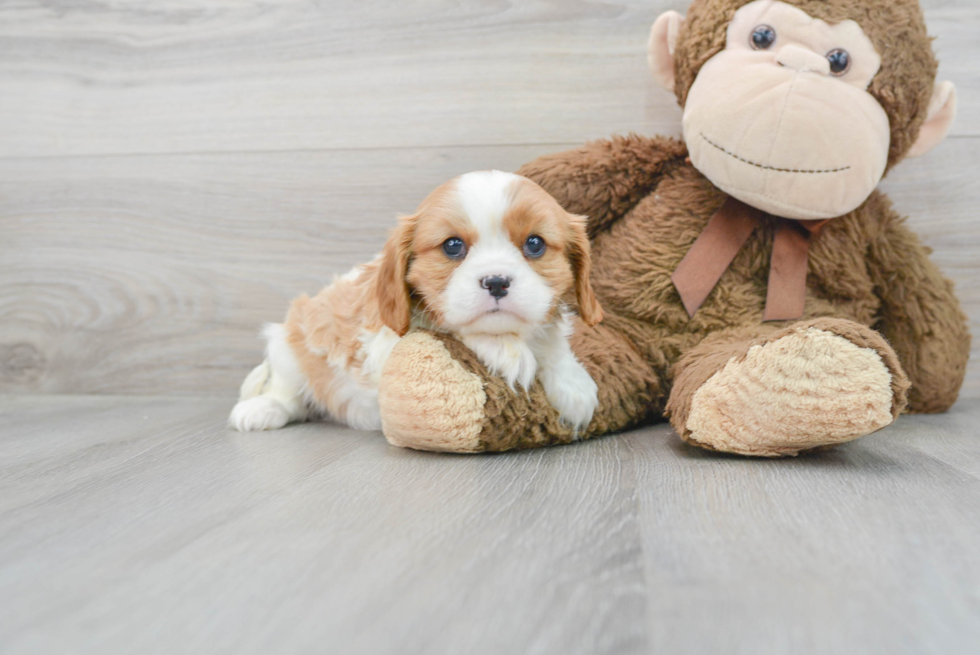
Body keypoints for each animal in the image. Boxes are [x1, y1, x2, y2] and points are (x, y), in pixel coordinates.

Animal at [230, 169, 604, 436]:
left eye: (535, 244)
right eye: (453, 246)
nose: (496, 282)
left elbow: (554, 345)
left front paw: (573, 384)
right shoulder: (387, 343)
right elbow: (452, 327)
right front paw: (506, 351)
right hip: (289, 346)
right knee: (286, 391)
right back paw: (261, 409)